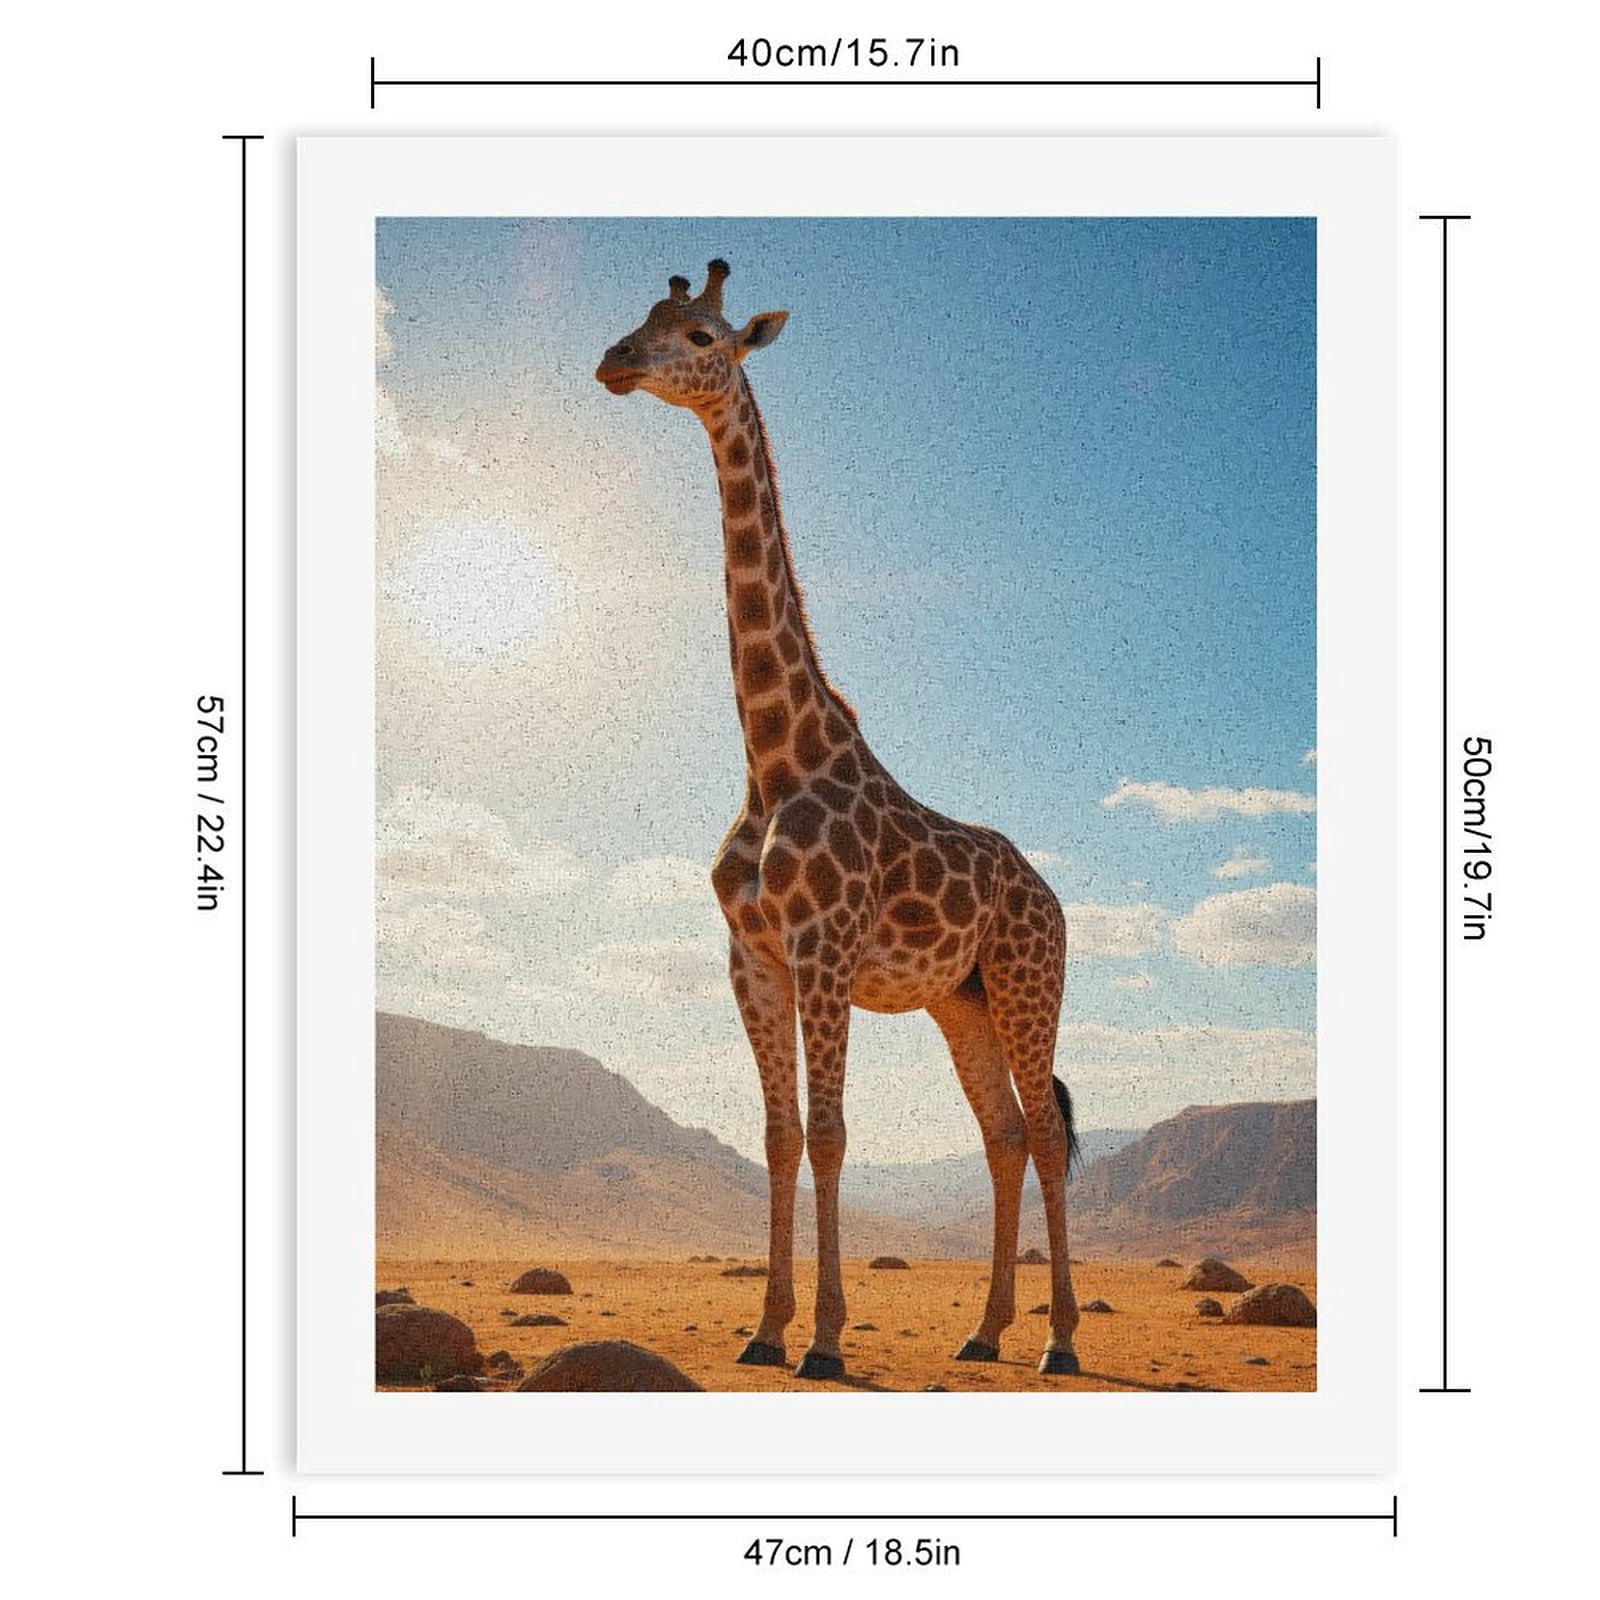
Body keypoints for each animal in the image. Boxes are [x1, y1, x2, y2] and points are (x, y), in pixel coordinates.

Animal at [596, 260, 1082, 1381]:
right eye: (642, 317)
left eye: (699, 334)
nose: (614, 361)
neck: (775, 759)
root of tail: (1052, 897)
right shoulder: (753, 958)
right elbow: (780, 1136)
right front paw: (764, 1330)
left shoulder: (822, 950)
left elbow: (830, 1133)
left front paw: (821, 1339)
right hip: (963, 1000)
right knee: (1001, 1134)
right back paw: (985, 1331)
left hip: (1030, 982)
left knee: (1042, 1131)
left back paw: (1059, 1343)